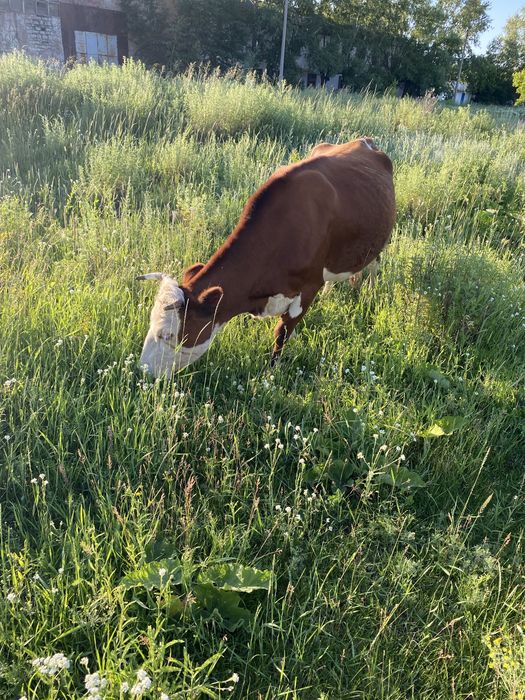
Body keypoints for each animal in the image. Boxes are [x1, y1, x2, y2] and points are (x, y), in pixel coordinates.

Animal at [137, 138, 395, 378]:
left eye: (167, 334)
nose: (143, 370)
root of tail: (363, 141)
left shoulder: (309, 286)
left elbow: (281, 333)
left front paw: (271, 375)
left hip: (380, 238)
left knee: (374, 266)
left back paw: (370, 292)